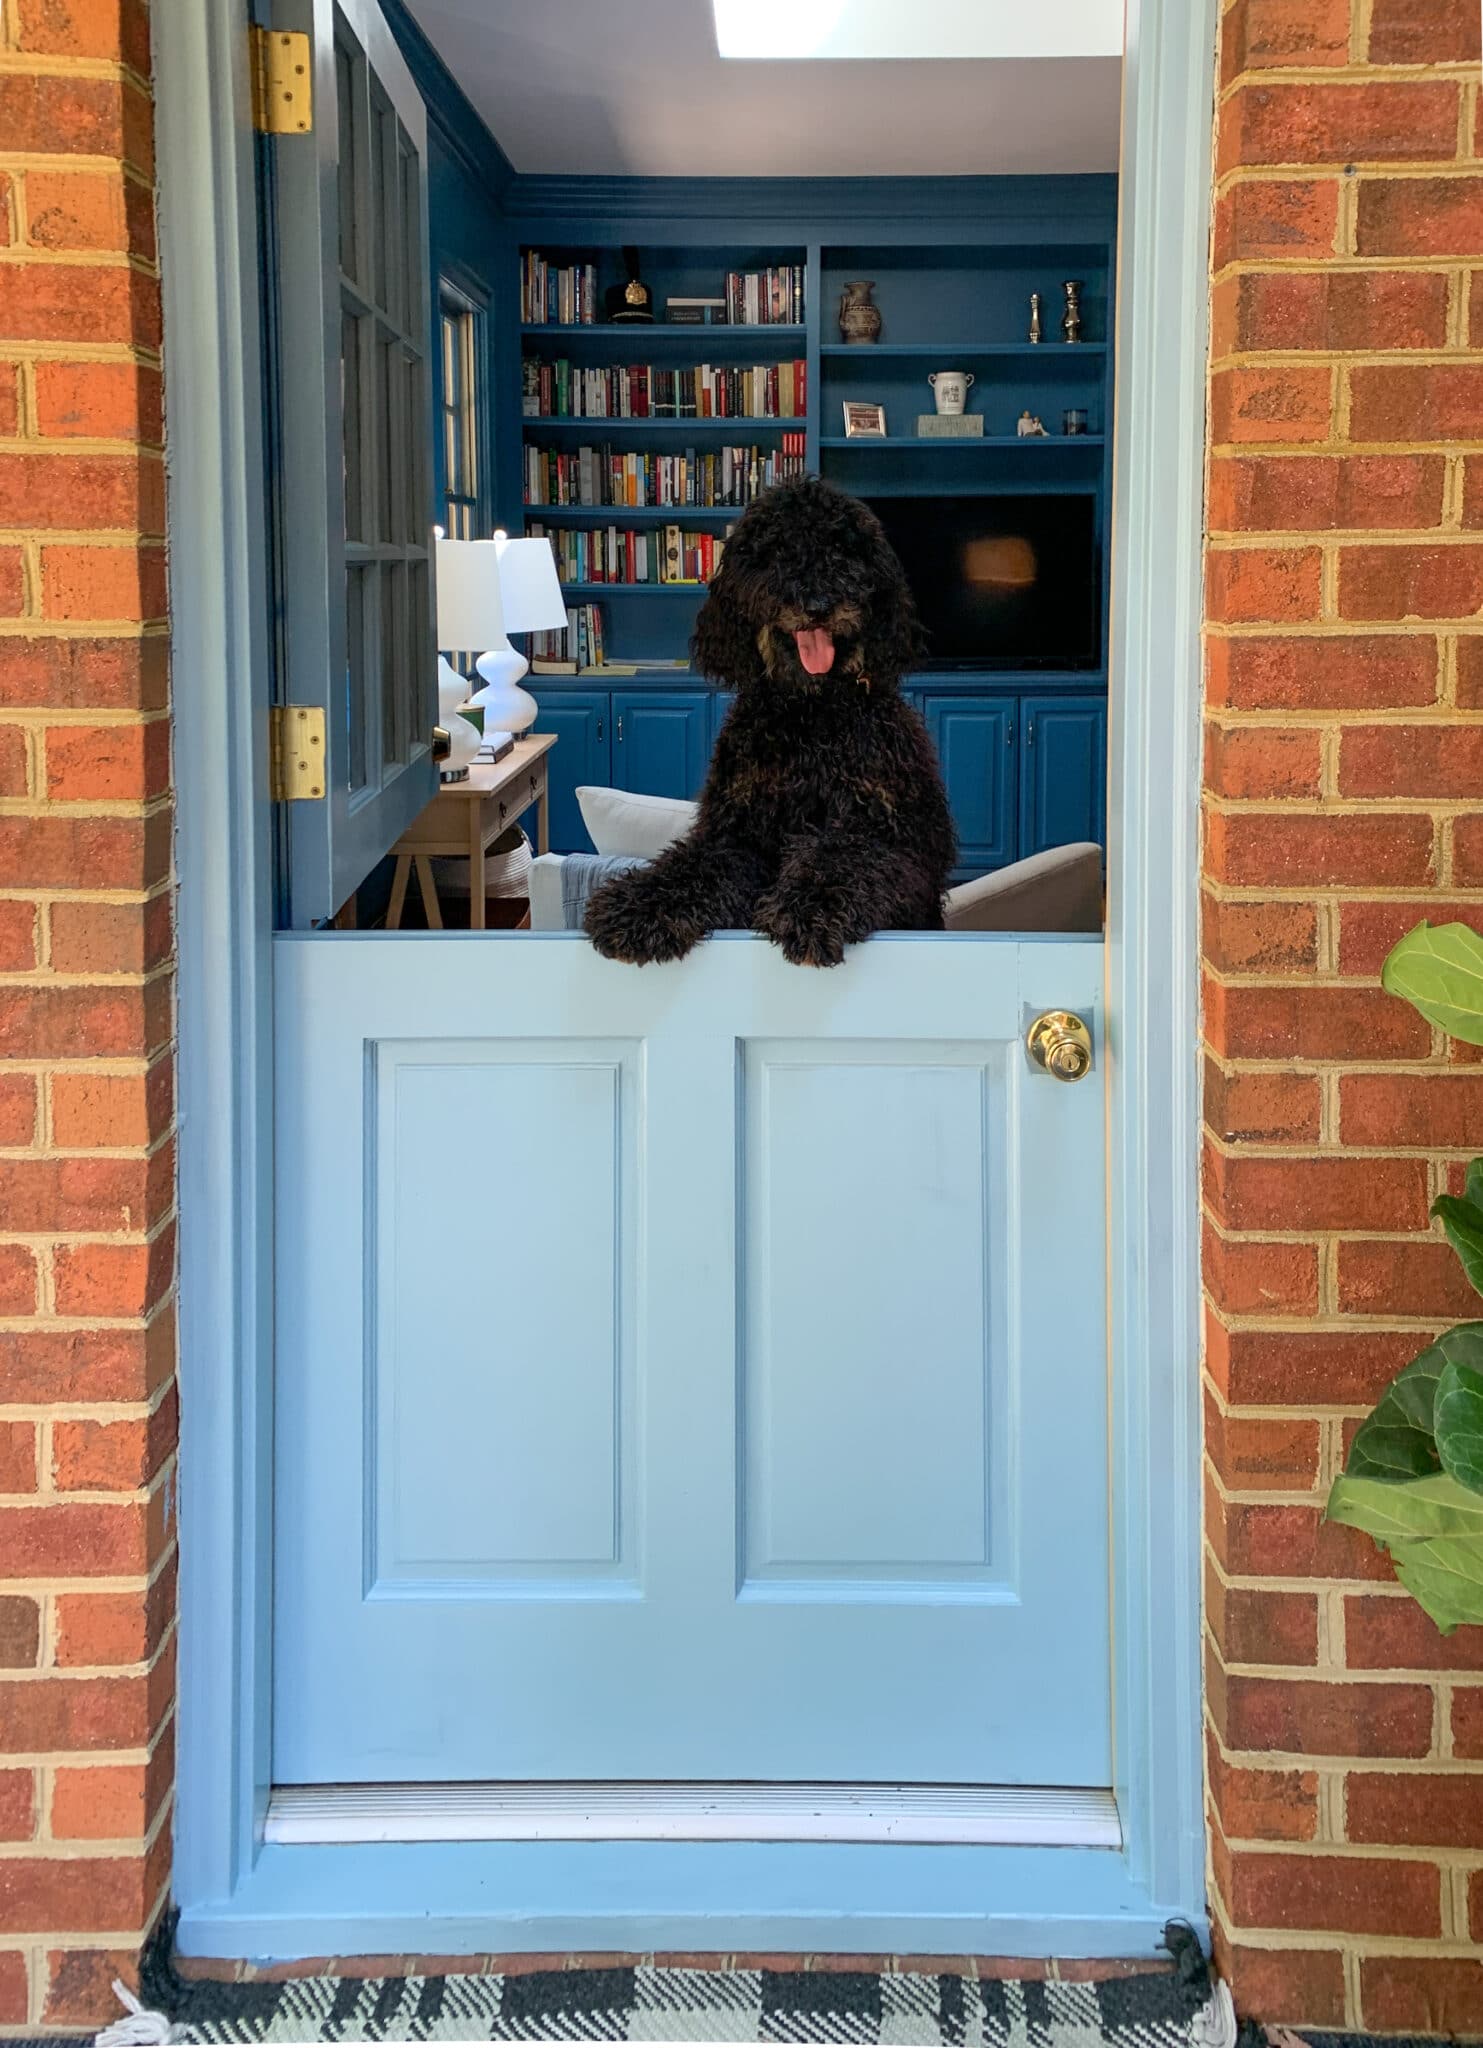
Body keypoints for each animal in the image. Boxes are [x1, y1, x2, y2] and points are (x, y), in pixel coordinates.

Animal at [585, 475, 954, 970]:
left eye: (844, 549)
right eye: (776, 550)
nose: (818, 604)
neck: (811, 715)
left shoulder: (900, 841)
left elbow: (845, 856)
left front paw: (812, 906)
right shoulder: (737, 833)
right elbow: (694, 866)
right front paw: (641, 905)